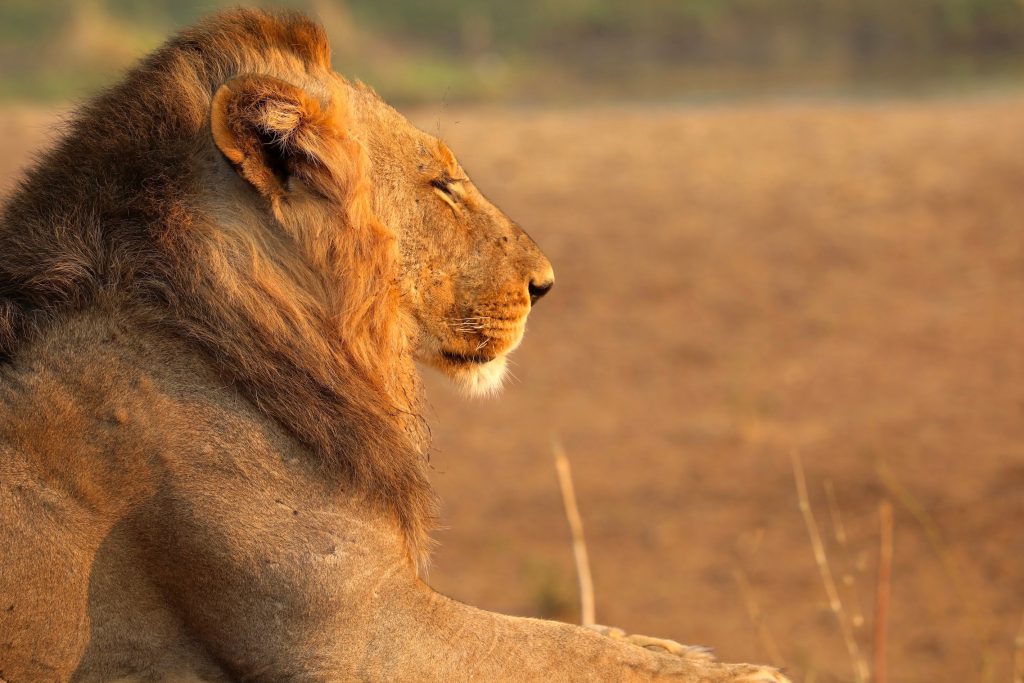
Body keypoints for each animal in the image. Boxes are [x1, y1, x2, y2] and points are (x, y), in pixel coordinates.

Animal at [0, 10, 786, 683]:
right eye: (441, 184)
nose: (545, 284)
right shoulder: (355, 633)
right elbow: (565, 649)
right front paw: (749, 671)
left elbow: (595, 637)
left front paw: (686, 648)